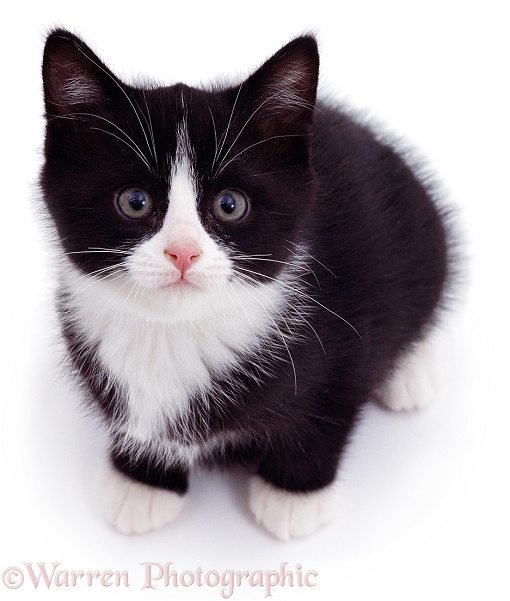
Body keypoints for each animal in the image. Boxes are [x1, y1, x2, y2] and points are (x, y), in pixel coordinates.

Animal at [39, 29, 450, 540]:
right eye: (134, 201)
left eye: (229, 204)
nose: (183, 253)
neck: (174, 332)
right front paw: (142, 481)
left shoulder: (351, 325)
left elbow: (330, 404)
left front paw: (293, 496)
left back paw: (411, 372)